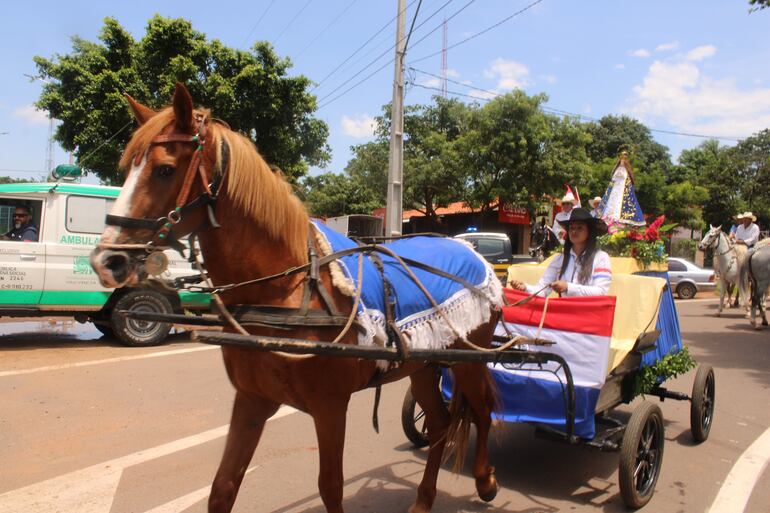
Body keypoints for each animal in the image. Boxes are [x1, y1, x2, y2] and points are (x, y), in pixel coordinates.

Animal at [90, 84, 500, 512]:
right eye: (127, 168)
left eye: (165, 169)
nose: (106, 260)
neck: (285, 290)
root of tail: (470, 250)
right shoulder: (252, 400)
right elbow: (222, 488)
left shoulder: (330, 406)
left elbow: (330, 485)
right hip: (422, 365)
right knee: (439, 424)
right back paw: (423, 500)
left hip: (469, 359)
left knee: (483, 411)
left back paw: (485, 480)